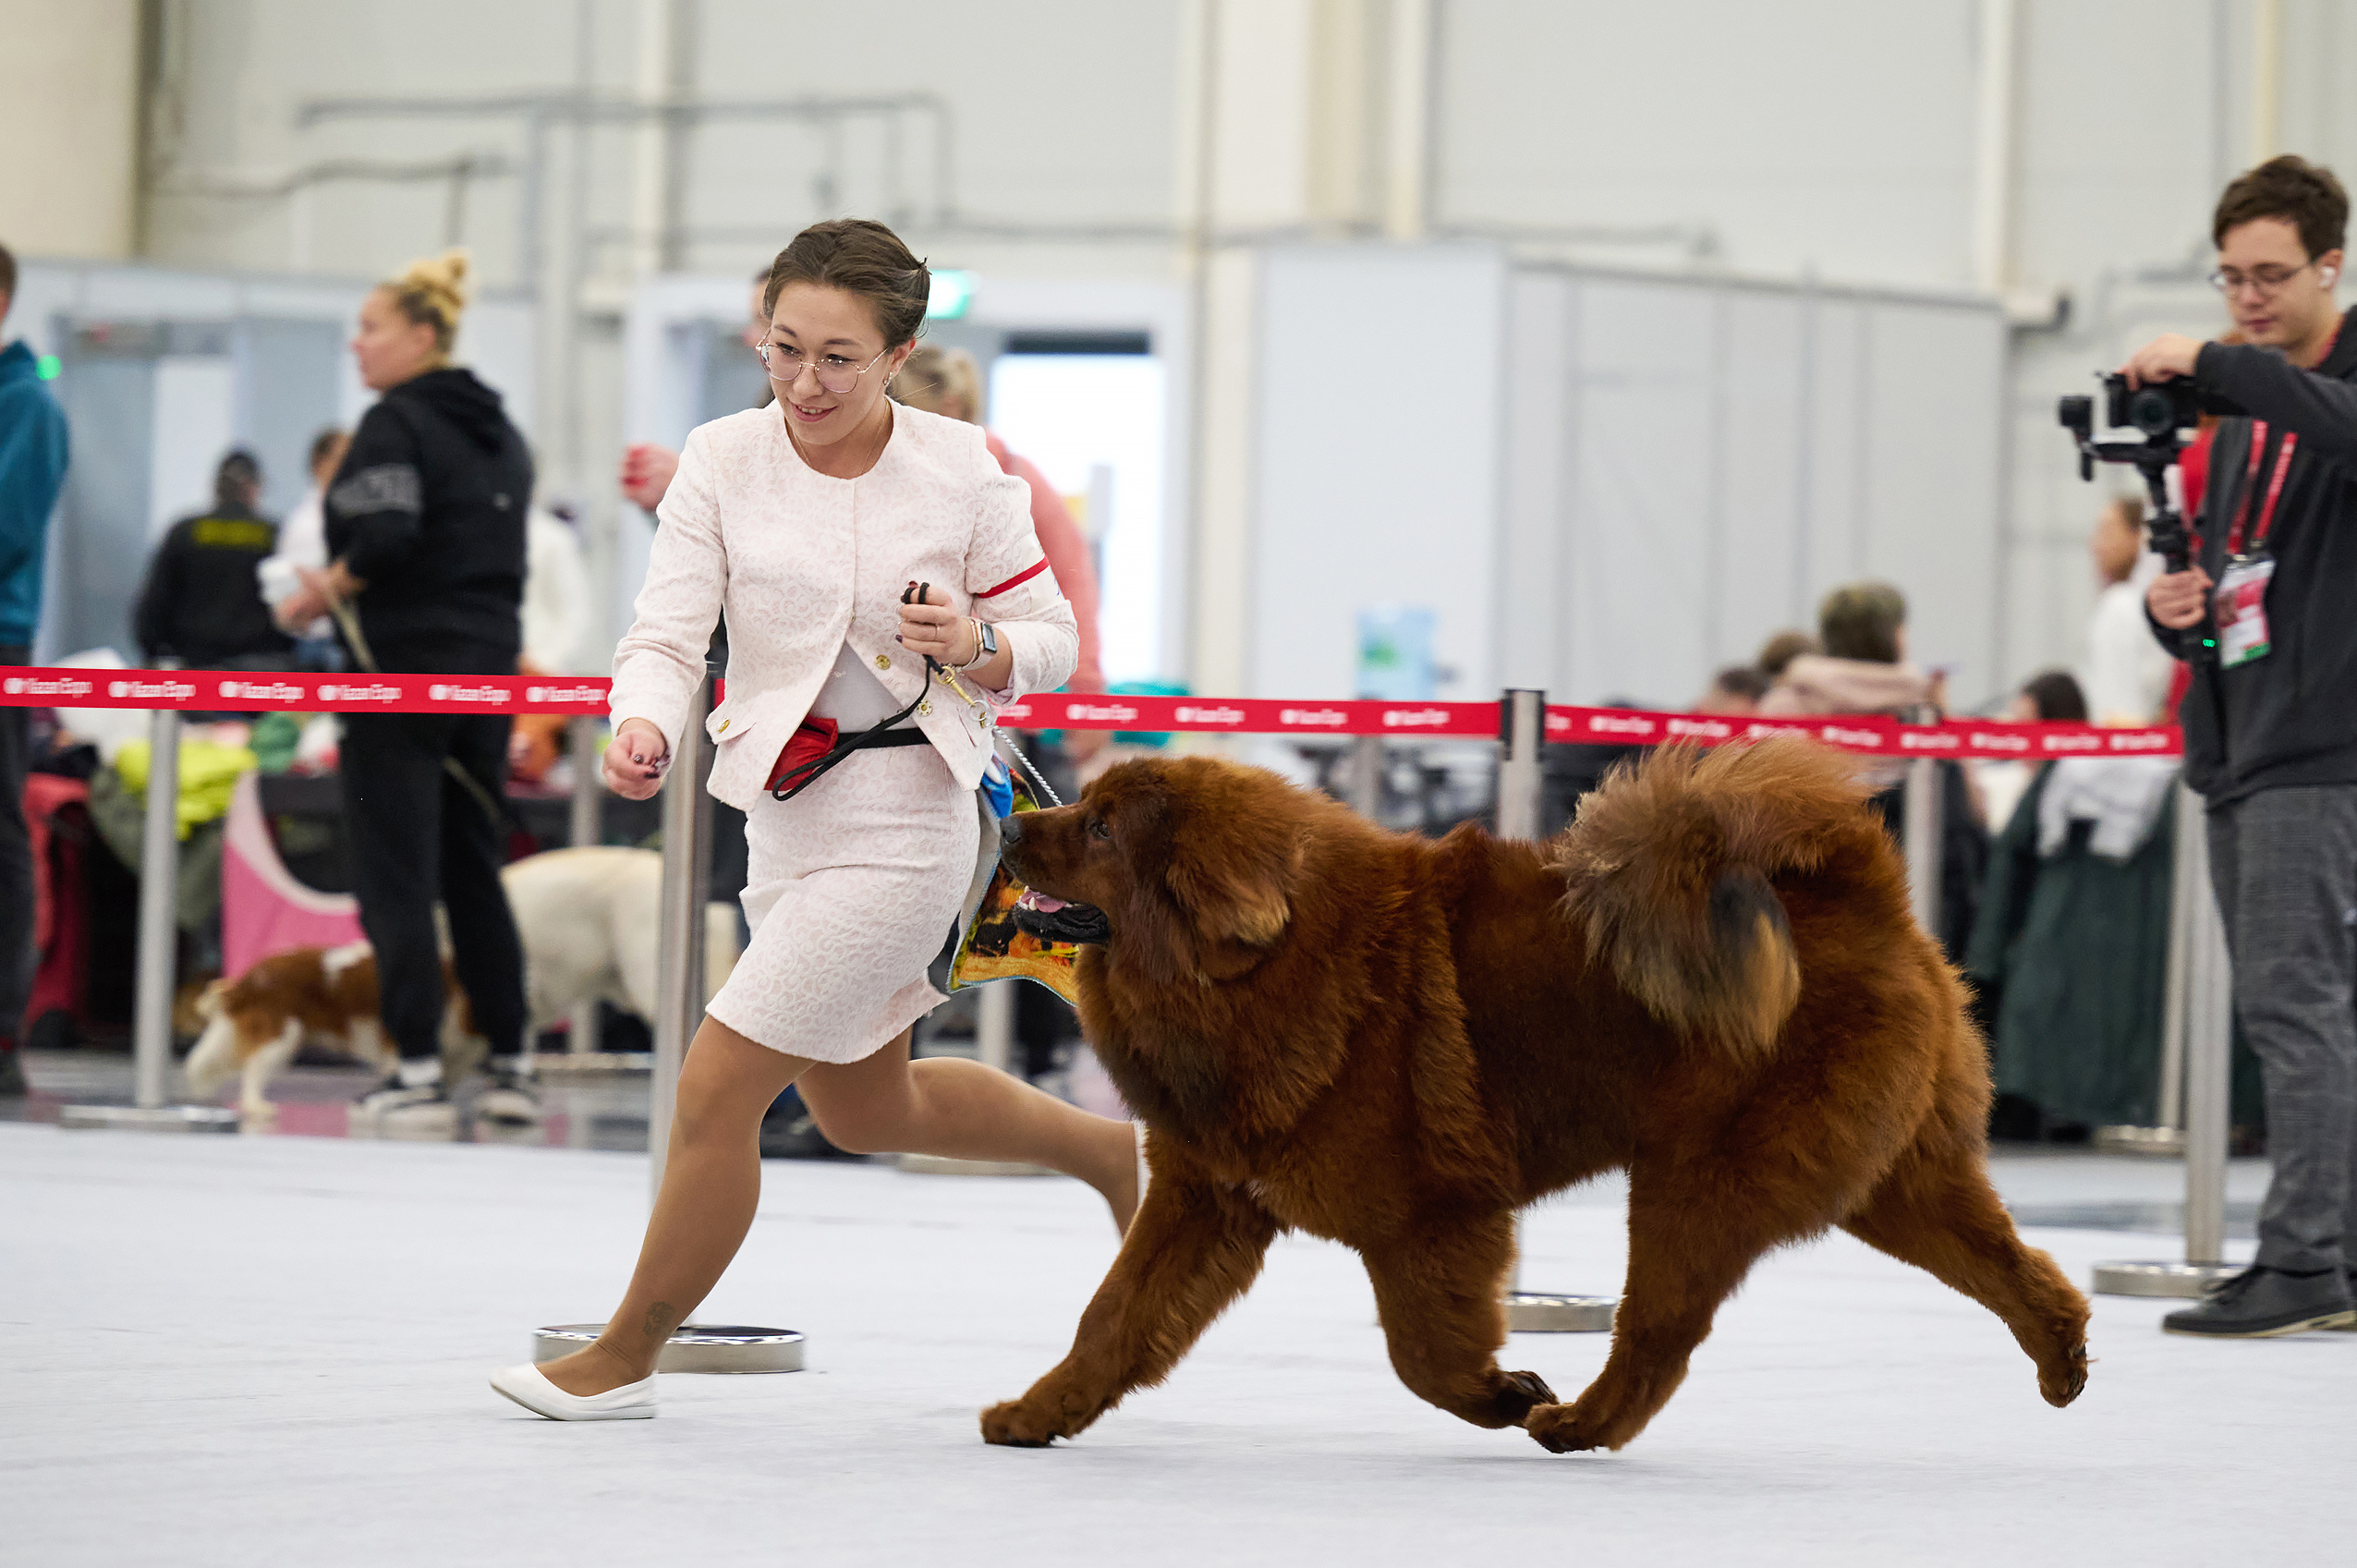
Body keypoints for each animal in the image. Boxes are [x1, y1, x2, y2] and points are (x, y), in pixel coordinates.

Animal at [183, 944, 485, 1118]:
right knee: (254, 1069)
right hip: (282, 1034)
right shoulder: (400, 1044)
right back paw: (258, 1106)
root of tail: (248, 979)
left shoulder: (456, 1054)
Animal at [982, 741, 2091, 1455]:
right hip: (1894, 1179)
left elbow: (1421, 1353)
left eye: (1101, 826)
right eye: (1080, 807)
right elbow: (1114, 1316)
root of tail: (1868, 895)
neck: (1253, 967)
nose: (1011, 818)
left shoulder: (1429, 1218)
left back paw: (1577, 1423)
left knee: (1657, 1330)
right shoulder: (1205, 1197)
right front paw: (1038, 1413)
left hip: (1695, 1182)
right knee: (2013, 1264)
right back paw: (2063, 1358)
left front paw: (1505, 1391)